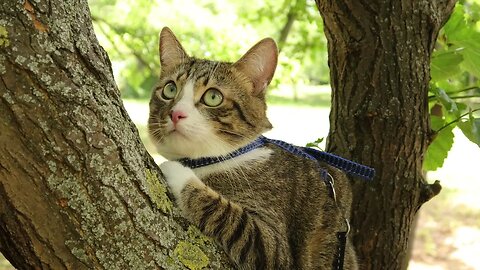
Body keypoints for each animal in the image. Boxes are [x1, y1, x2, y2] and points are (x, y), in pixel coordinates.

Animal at [148, 26, 358, 268]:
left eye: (213, 96)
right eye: (170, 90)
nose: (176, 114)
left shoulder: (276, 248)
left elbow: (228, 215)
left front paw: (175, 170)